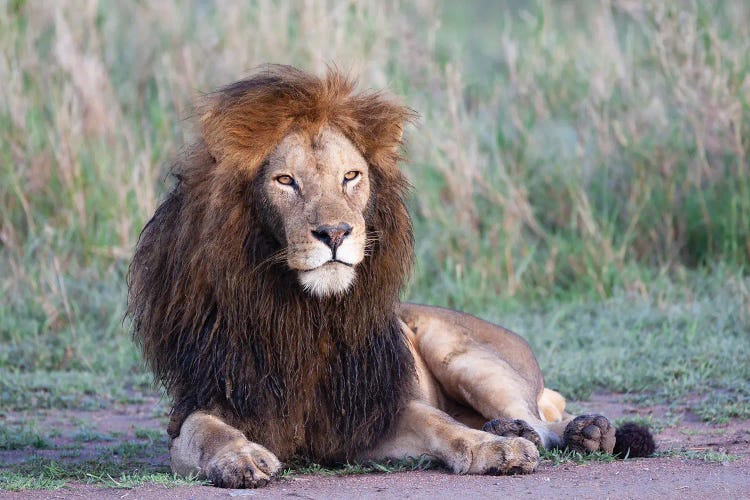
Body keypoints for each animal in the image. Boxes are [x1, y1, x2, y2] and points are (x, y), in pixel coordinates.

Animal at [126, 63, 656, 488]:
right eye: (285, 180)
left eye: (350, 176)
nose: (335, 233)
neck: (305, 315)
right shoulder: (208, 400)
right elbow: (206, 433)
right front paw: (241, 458)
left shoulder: (373, 410)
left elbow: (441, 426)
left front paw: (496, 451)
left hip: (462, 354)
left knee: (544, 424)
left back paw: (582, 433)